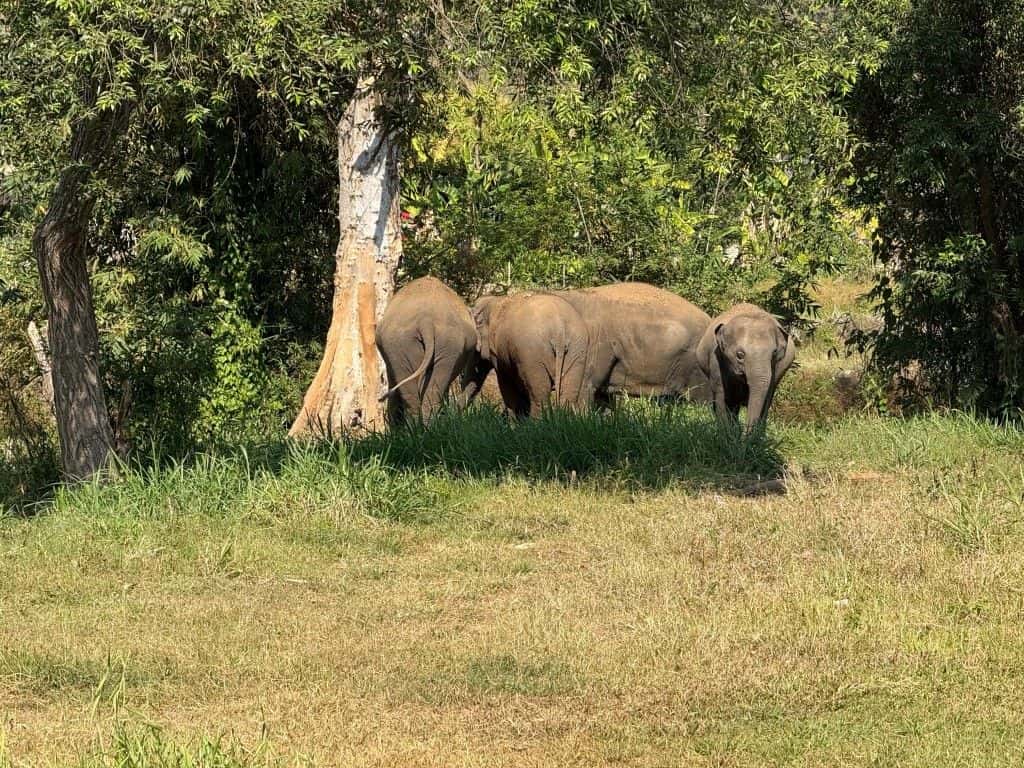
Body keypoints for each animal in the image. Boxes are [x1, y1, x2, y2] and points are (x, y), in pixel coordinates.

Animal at [695, 302, 796, 432]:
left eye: (774, 353)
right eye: (740, 355)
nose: (745, 433)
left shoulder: (774, 369)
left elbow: (766, 396)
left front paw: (755, 436)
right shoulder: (716, 359)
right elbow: (721, 395)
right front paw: (726, 434)